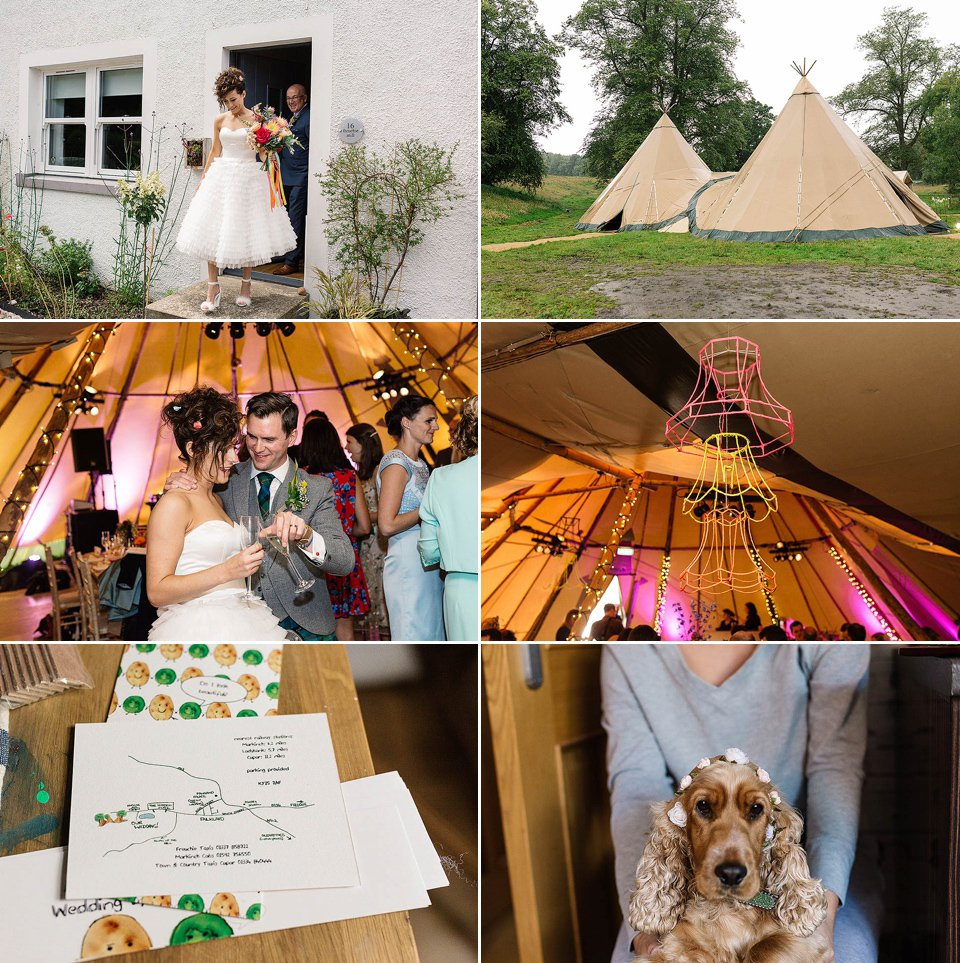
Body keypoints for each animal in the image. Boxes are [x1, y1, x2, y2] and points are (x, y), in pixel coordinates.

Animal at [632, 752, 824, 963]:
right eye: (703, 806)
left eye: (755, 808)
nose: (731, 873)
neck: (727, 909)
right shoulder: (677, 946)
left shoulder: (803, 942)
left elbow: (764, 947)